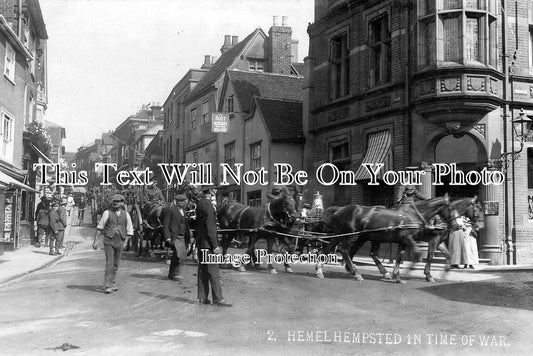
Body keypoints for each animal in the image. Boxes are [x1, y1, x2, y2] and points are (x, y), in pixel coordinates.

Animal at [314, 196, 460, 282]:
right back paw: (356, 273)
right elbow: (421, 255)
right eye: (451, 207)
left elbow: (400, 256)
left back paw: (320, 270)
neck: (414, 215)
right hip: (350, 235)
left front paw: (397, 275)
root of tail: (340, 210)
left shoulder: (405, 241)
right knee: (344, 251)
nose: (457, 226)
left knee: (331, 248)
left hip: (351, 235)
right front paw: (417, 272)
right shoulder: (409, 238)